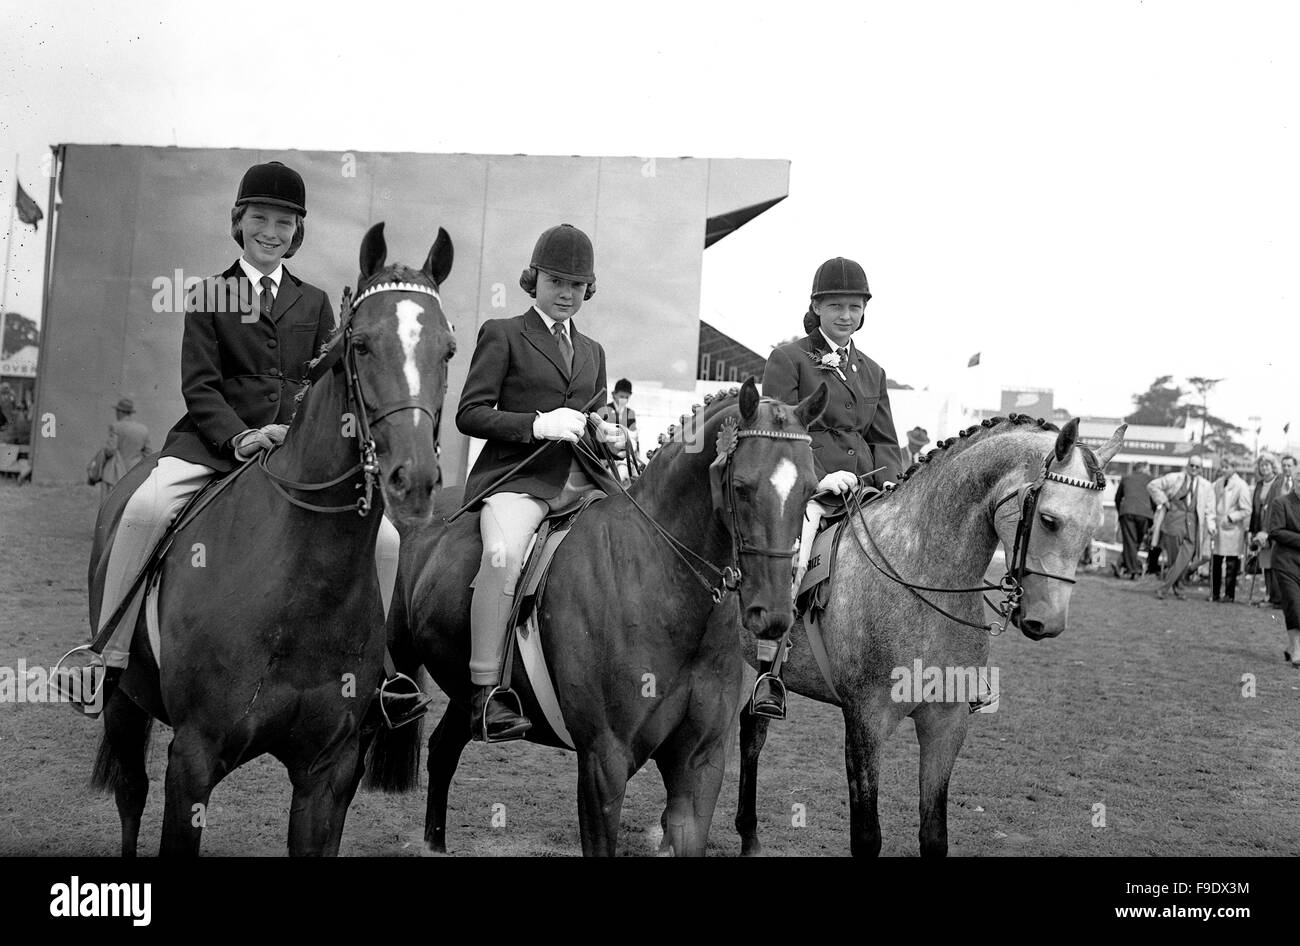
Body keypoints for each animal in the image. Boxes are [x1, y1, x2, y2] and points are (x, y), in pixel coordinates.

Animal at [82, 223, 457, 857]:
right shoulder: (194, 758)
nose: (415, 481)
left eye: (448, 350)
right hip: (124, 700)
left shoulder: (329, 770)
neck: (302, 585)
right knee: (131, 793)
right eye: (360, 345)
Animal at [371, 379, 826, 857]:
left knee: (442, 751)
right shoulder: (603, 761)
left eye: (810, 491)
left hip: (465, 692)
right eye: (741, 487)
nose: (772, 614)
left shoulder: (700, 763)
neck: (665, 583)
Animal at [738, 413, 1123, 857]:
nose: (1049, 622)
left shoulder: (947, 722)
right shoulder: (866, 722)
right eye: (1049, 520)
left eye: (1095, 528)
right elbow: (867, 837)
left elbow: (934, 834)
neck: (920, 573)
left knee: (751, 730)